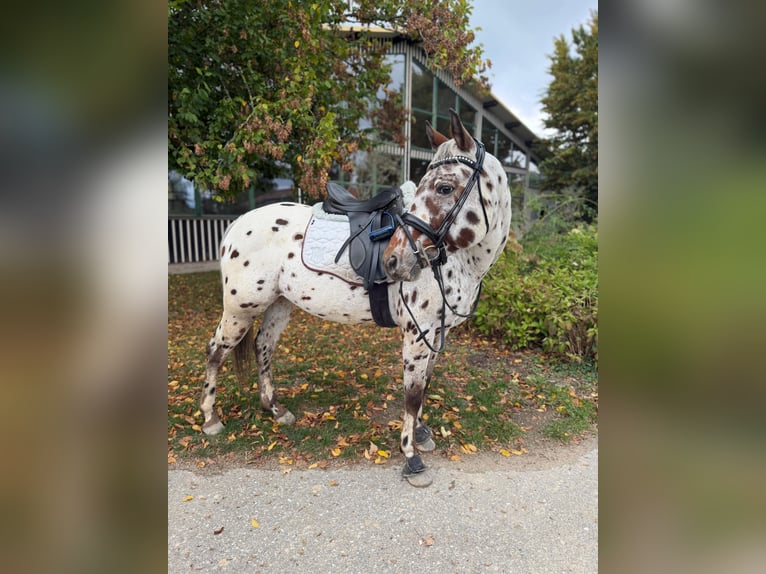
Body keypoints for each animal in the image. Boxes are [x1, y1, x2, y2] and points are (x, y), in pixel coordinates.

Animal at [199, 109, 511, 486]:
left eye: (445, 187)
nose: (394, 261)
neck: (460, 261)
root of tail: (237, 223)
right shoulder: (417, 333)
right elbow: (412, 394)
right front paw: (411, 457)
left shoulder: (437, 333)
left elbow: (424, 384)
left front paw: (422, 434)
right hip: (241, 308)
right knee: (215, 352)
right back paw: (210, 419)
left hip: (279, 305)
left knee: (263, 348)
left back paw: (274, 409)